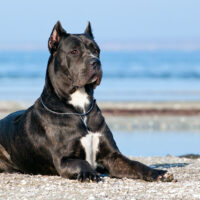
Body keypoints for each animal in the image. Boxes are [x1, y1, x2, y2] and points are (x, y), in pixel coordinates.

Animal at [0, 22, 173, 183]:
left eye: (96, 50)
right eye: (74, 51)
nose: (95, 62)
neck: (80, 108)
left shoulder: (112, 156)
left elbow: (135, 163)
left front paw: (158, 173)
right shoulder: (64, 159)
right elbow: (82, 163)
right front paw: (89, 173)